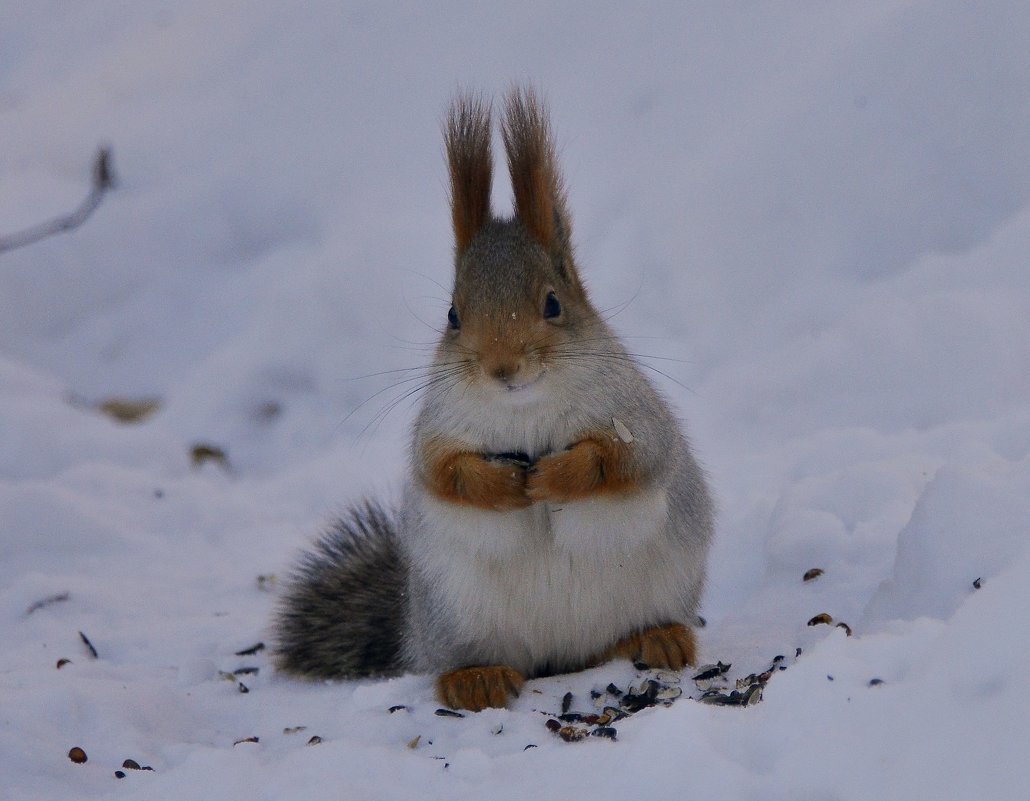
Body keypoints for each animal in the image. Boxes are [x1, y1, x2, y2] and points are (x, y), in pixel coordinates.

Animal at [269, 89, 712, 712]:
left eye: (553, 303)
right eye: (454, 315)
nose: (502, 367)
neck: (523, 409)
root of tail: (560, 655)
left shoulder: (635, 415)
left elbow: (625, 458)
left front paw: (558, 476)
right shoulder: (437, 426)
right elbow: (441, 470)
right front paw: (499, 485)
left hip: (665, 581)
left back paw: (658, 638)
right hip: (457, 616)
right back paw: (475, 678)